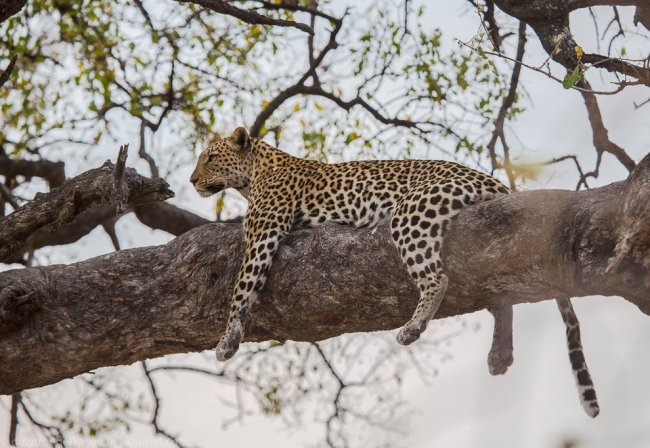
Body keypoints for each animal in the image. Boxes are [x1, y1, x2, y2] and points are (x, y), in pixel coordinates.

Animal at [187, 126, 596, 416]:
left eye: (210, 158)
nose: (191, 181)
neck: (256, 170)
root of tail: (486, 178)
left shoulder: (262, 235)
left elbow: (240, 288)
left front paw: (227, 340)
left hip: (410, 215)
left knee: (438, 277)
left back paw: (413, 327)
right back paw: (499, 353)